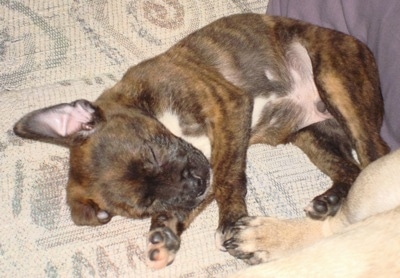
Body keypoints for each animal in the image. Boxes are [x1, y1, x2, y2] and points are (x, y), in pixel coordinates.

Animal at [14, 14, 390, 268]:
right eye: (146, 204)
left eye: (153, 151)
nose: (194, 181)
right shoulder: (208, 159)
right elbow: (197, 195)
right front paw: (164, 234)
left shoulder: (228, 109)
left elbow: (227, 177)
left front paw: (230, 222)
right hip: (310, 135)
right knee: (349, 168)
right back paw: (330, 201)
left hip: (336, 82)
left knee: (373, 155)